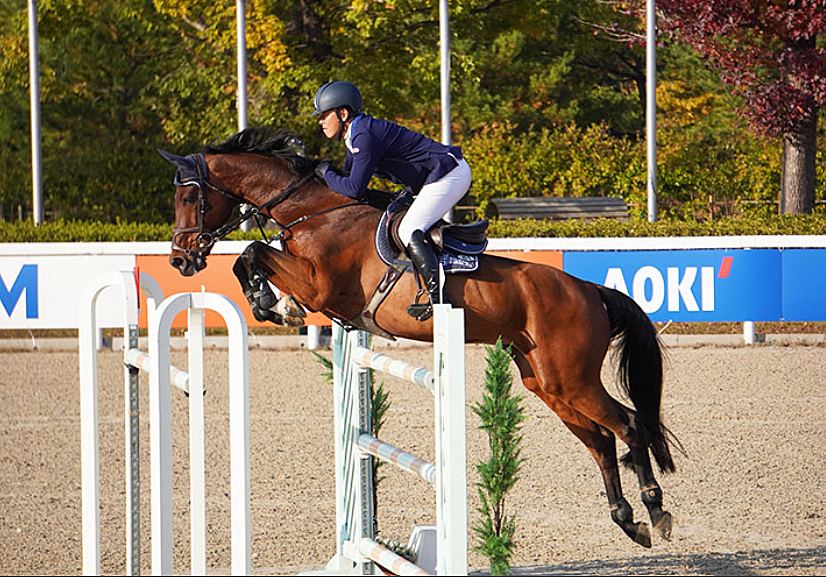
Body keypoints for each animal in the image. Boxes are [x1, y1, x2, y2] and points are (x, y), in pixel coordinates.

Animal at [158, 126, 680, 548]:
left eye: (189, 198)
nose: (180, 260)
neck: (314, 213)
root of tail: (590, 289)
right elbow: (250, 256)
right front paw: (273, 304)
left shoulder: (319, 285)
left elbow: (251, 251)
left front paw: (275, 305)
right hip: (547, 382)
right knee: (602, 440)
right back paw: (627, 519)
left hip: (572, 378)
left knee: (629, 425)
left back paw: (656, 509)